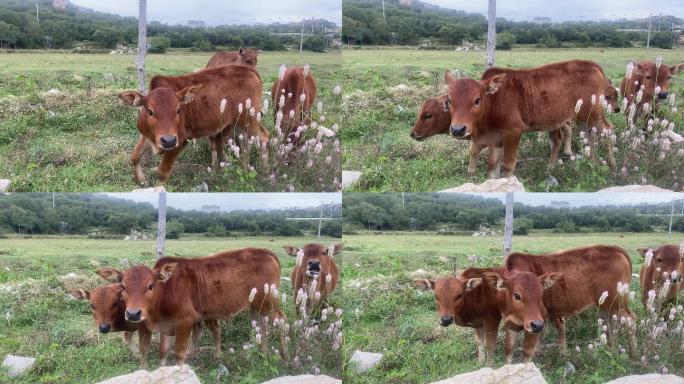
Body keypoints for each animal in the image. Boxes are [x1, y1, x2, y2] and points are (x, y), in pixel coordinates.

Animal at [97, 249, 284, 366]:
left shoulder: (185, 322)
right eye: (123, 287)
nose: (133, 314)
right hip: (256, 307)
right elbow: (163, 352)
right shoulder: (166, 328)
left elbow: (179, 353)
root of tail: (266, 252)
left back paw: (284, 354)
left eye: (151, 285)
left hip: (268, 303)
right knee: (262, 326)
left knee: (282, 320)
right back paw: (263, 352)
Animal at [119, 64, 268, 184]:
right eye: (150, 111)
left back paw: (264, 170)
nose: (168, 140)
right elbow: (135, 156)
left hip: (251, 118)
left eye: (178, 110)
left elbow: (163, 172)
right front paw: (141, 179)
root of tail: (247, 69)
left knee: (263, 137)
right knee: (245, 143)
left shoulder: (180, 141)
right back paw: (245, 168)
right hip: (238, 123)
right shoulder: (147, 136)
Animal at [446, 60, 616, 176]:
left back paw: (613, 167)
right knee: (590, 135)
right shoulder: (495, 139)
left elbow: (508, 165)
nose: (457, 129)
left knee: (607, 130)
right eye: (449, 100)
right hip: (582, 118)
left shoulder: (513, 132)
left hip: (594, 114)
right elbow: (493, 166)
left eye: (477, 100)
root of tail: (592, 64)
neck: (493, 100)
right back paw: (592, 164)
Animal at [486, 244, 636, 362]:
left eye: (541, 295)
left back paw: (633, 354)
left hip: (617, 303)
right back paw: (612, 350)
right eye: (516, 295)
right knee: (612, 323)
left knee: (630, 319)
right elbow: (509, 349)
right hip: (606, 305)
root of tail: (615, 249)